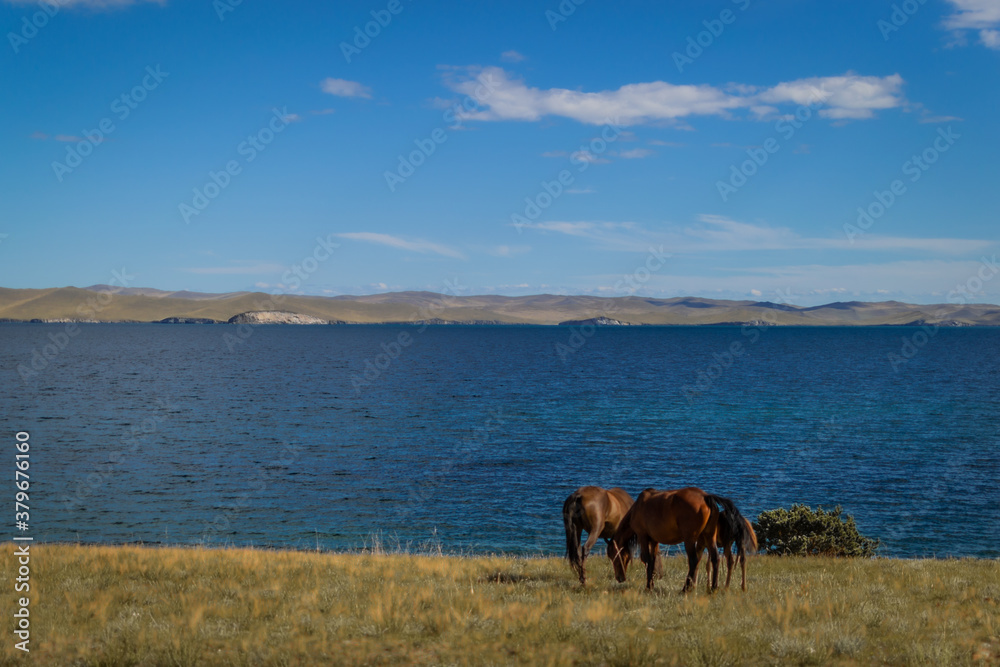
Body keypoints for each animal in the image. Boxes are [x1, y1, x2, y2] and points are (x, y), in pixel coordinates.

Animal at [608, 487, 751, 593]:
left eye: (614, 556)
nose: (619, 578)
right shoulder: (654, 541)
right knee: (715, 558)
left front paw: (648, 586)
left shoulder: (643, 537)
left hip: (690, 539)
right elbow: (653, 560)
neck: (638, 507)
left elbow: (647, 559)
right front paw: (652, 584)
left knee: (693, 561)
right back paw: (713, 588)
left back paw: (685, 588)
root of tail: (706, 497)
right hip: (709, 536)